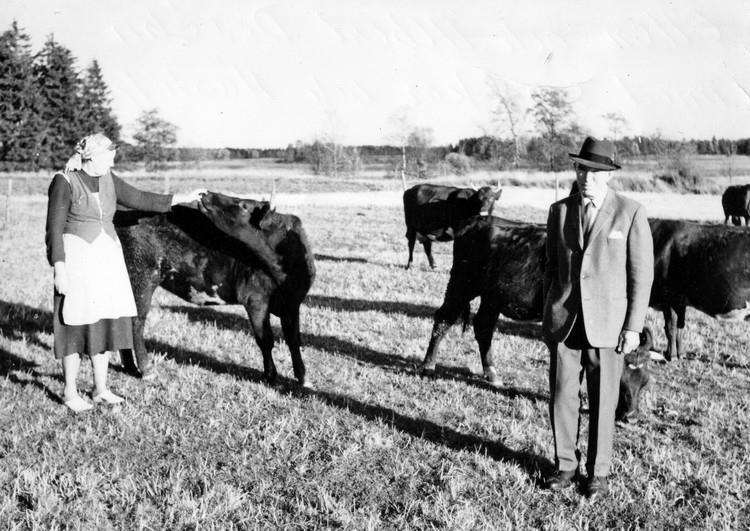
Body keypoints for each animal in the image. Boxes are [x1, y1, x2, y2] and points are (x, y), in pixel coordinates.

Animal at [114, 191, 318, 386]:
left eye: (243, 205)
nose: (206, 194)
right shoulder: (255, 300)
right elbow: (265, 339)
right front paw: (271, 376)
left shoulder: (293, 302)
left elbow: (293, 338)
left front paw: (303, 377)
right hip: (141, 279)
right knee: (136, 323)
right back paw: (146, 369)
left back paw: (130, 367)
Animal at [420, 215, 648, 420]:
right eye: (621, 381)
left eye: (644, 383)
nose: (631, 416)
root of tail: (477, 221)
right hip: (462, 284)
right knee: (443, 318)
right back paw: (428, 366)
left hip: (492, 297)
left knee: (483, 326)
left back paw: (492, 374)